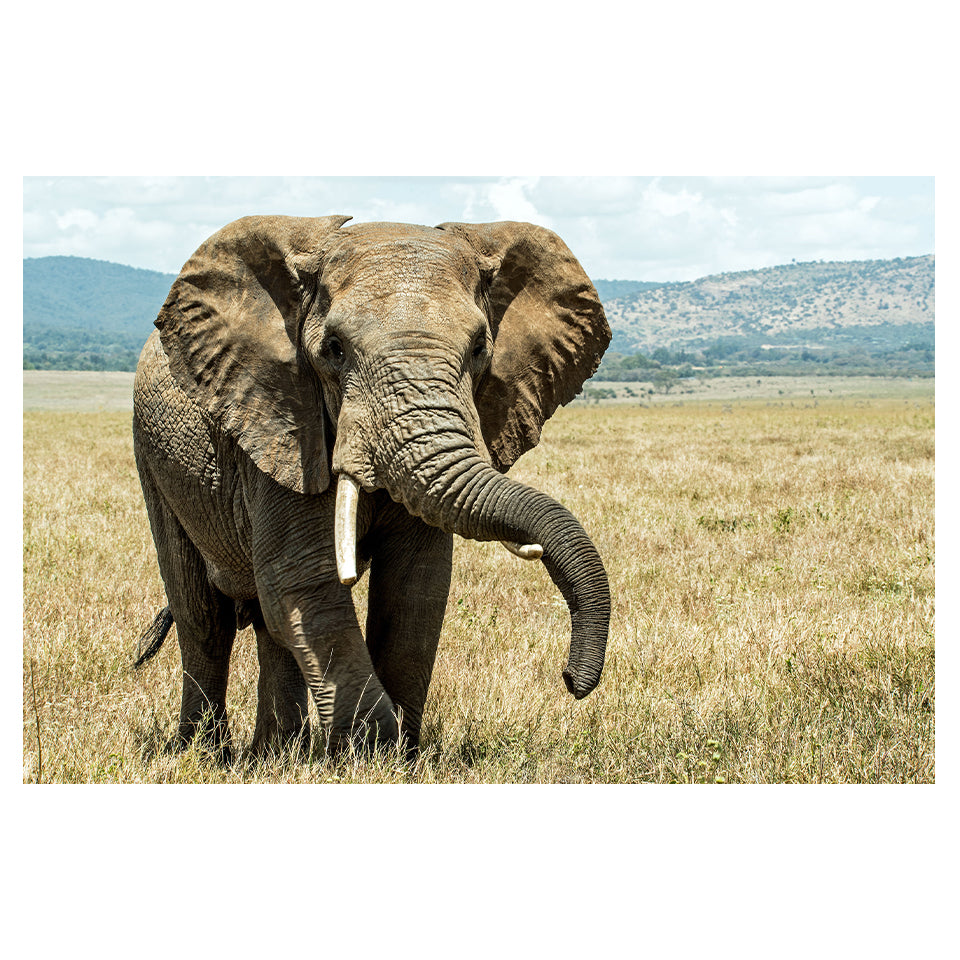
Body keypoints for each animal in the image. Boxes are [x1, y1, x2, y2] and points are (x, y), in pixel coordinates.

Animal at [132, 214, 611, 761]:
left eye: (478, 349)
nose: (572, 679)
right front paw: (372, 751)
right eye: (334, 350)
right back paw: (206, 754)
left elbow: (415, 587)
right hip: (155, 459)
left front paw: (400, 756)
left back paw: (275, 755)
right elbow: (304, 580)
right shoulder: (282, 423)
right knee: (203, 616)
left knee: (268, 624)